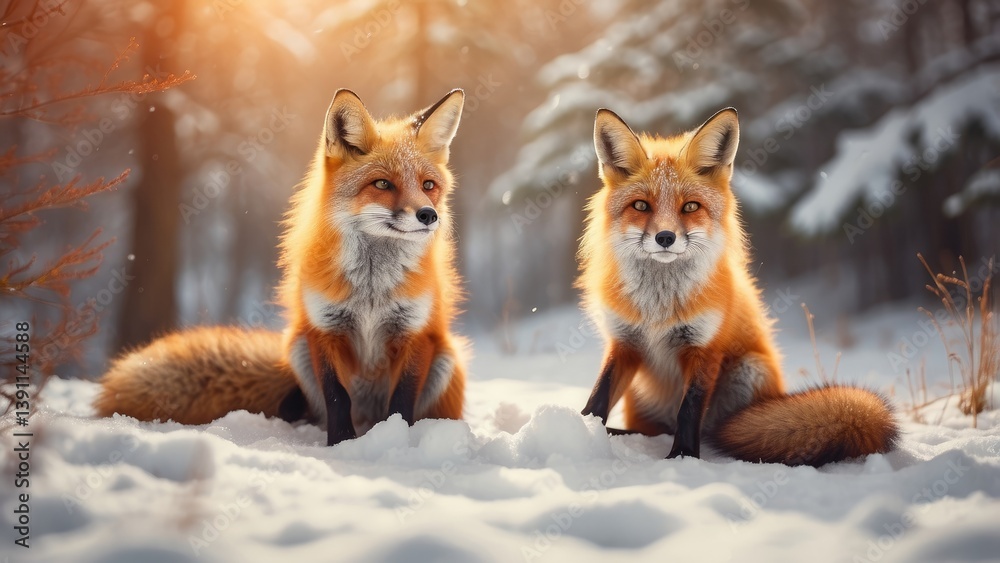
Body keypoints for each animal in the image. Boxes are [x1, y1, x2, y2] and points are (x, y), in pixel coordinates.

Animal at [95, 89, 469, 444]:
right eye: (382, 184)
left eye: (428, 186)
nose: (428, 215)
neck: (371, 292)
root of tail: (367, 417)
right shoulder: (322, 330)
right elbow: (337, 397)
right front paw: (340, 444)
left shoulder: (416, 334)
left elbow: (401, 402)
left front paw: (395, 441)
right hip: (298, 347)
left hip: (446, 358)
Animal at [578, 107, 899, 466]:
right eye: (641, 206)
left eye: (690, 207)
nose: (665, 238)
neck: (657, 309)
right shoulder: (624, 343)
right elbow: (598, 399)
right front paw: (579, 434)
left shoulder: (705, 348)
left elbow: (689, 410)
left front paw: (683, 457)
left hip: (748, 370)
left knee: (716, 429)